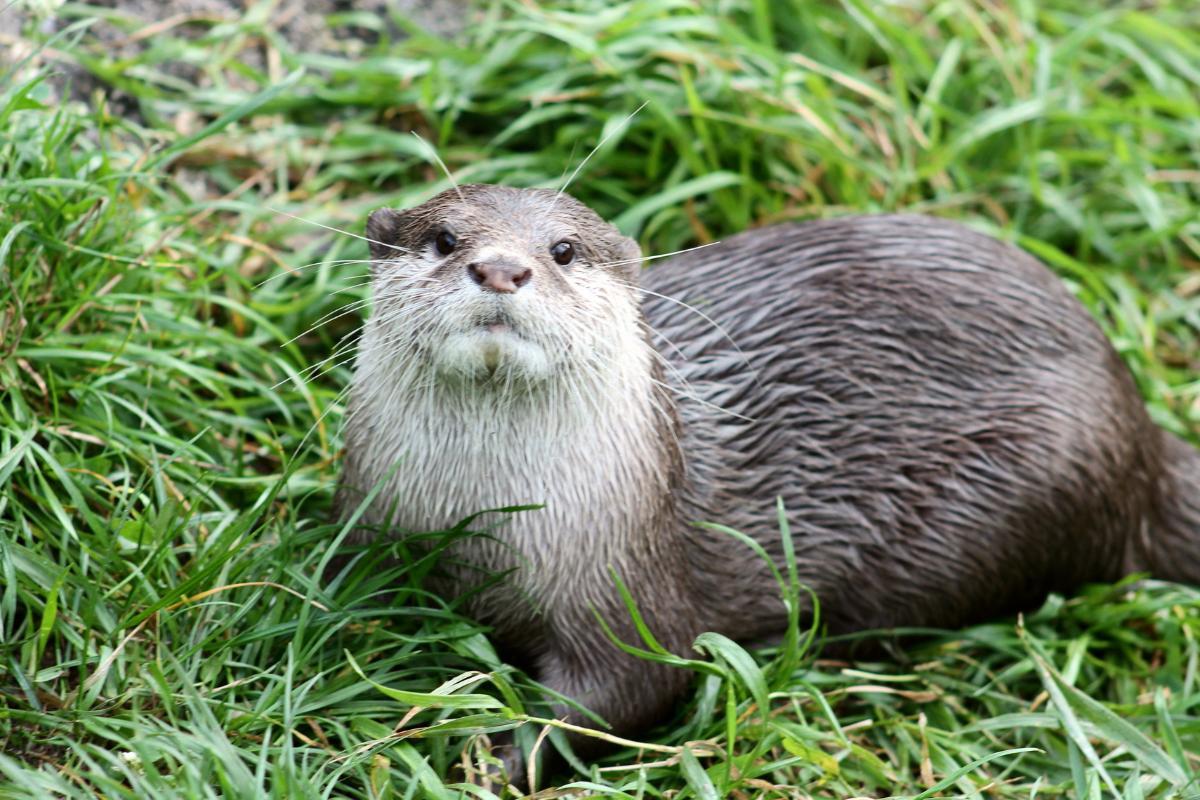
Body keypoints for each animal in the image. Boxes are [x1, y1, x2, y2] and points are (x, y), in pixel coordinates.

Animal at [337, 184, 1200, 781]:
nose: (501, 268)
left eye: (563, 251)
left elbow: (616, 699)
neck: (487, 526)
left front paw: (489, 761)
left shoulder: (630, 589)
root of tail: (1143, 435)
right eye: (445, 238)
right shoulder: (369, 536)